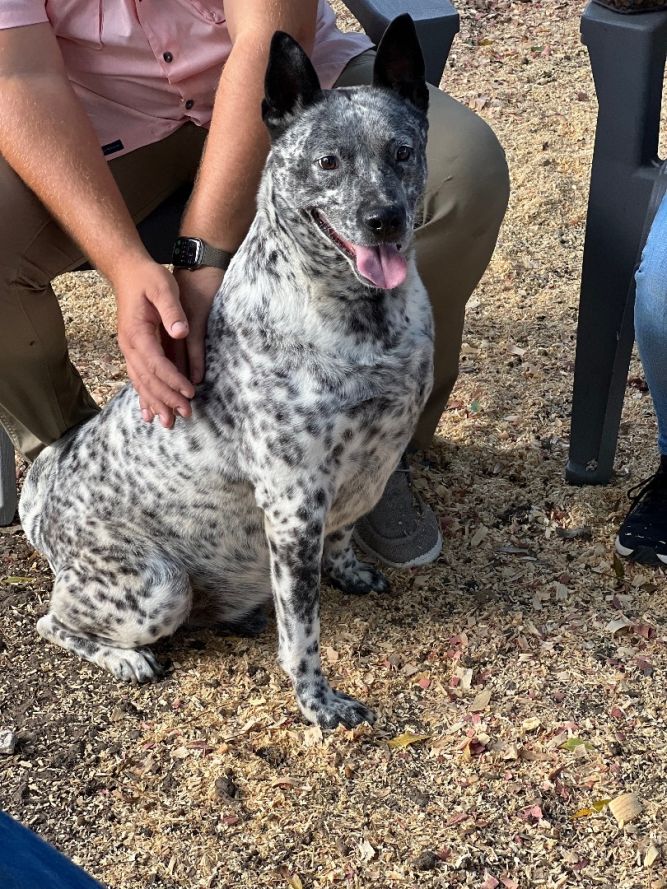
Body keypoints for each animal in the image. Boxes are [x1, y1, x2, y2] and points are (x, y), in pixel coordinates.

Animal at [19, 15, 434, 728]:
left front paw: (349, 572)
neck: (367, 321)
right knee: (54, 622)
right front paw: (317, 703)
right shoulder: (294, 508)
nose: (384, 219)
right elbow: (302, 632)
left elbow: (345, 538)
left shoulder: (365, 470)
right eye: (328, 162)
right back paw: (129, 659)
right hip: (159, 586)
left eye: (402, 152)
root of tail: (42, 493)